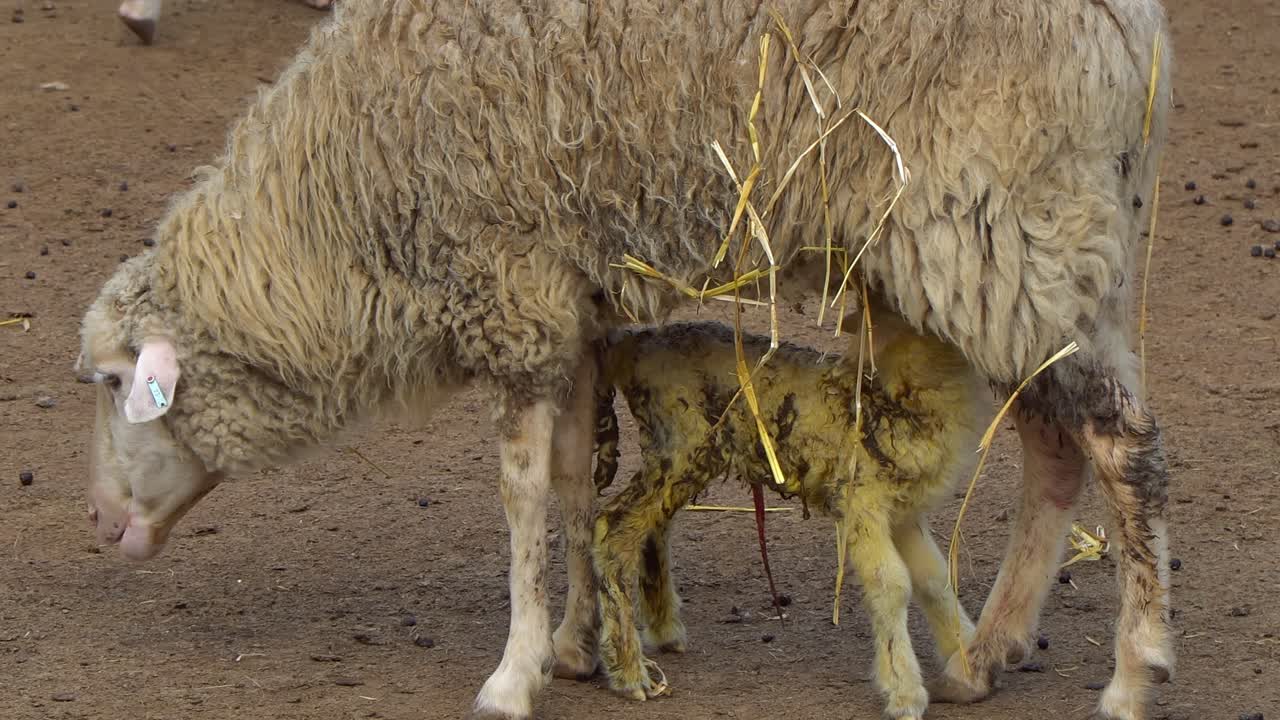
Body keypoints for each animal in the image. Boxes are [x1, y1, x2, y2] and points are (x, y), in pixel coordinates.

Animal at [589, 306, 993, 719]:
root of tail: (636, 345)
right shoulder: (861, 501)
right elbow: (892, 585)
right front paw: (904, 691)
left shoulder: (903, 511)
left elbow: (935, 580)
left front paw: (967, 660)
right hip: (681, 441)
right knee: (613, 527)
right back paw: (629, 670)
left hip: (678, 452)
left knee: (652, 528)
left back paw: (664, 629)